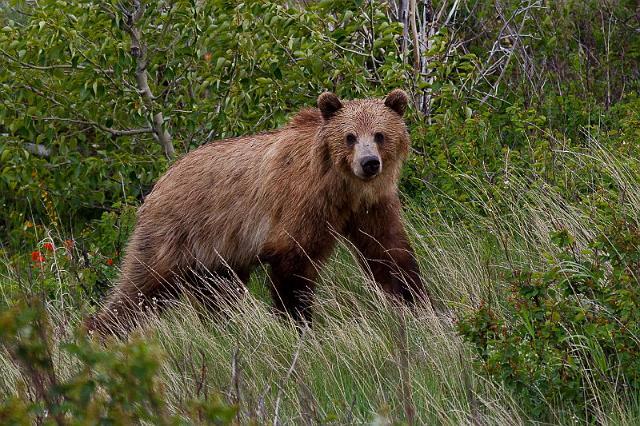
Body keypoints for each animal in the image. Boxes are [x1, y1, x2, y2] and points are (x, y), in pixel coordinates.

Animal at [86, 90, 430, 336]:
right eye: (350, 137)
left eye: (380, 134)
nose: (369, 163)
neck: (342, 190)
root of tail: (160, 180)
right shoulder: (299, 205)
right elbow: (293, 265)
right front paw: (298, 324)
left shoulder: (372, 206)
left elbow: (389, 253)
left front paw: (417, 305)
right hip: (175, 231)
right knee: (141, 287)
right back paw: (99, 331)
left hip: (217, 255)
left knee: (218, 295)